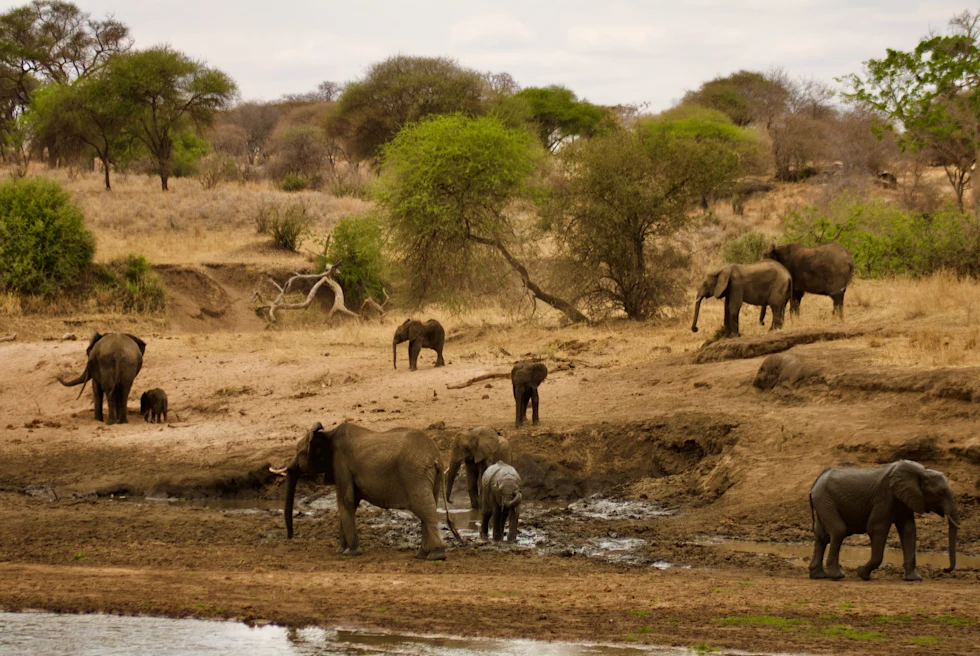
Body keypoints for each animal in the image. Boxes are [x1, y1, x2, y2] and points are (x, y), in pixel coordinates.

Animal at [272, 422, 461, 560]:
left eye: (298, 451)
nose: (290, 537)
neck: (328, 434)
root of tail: (437, 457)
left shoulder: (341, 463)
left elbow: (346, 500)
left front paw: (350, 553)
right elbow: (349, 503)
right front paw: (340, 551)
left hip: (414, 474)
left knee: (424, 509)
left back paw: (436, 555)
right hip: (425, 476)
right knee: (428, 508)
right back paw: (422, 555)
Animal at [809, 460, 958, 581]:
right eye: (940, 493)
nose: (945, 569)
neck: (923, 472)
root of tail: (816, 481)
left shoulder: (905, 499)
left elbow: (909, 530)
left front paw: (914, 579)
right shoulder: (885, 497)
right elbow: (876, 528)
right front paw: (862, 573)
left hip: (823, 501)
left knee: (822, 536)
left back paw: (818, 576)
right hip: (825, 500)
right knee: (838, 530)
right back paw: (836, 576)